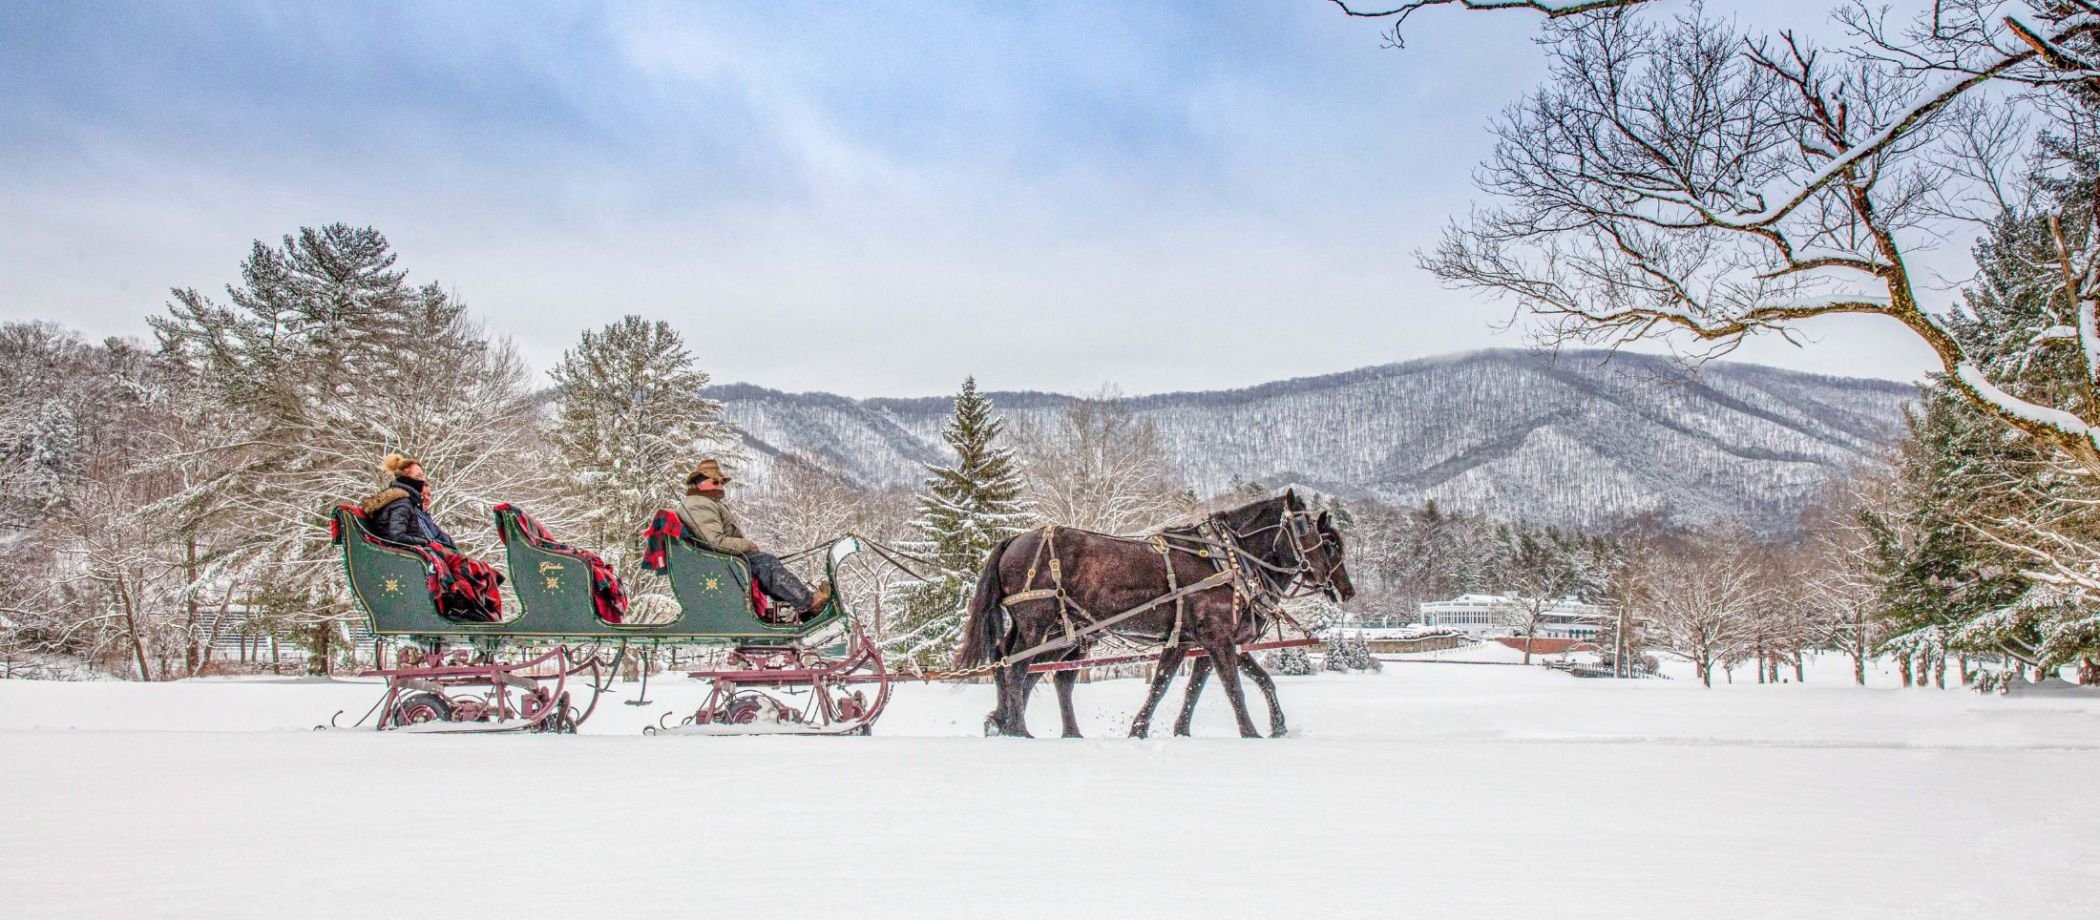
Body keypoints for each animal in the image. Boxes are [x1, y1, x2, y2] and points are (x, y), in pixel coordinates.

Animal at [957, 491, 1352, 735]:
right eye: (1321, 538)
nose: (1346, 590)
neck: (1228, 558)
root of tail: (1014, 540)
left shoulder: (1193, 642)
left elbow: (1176, 685)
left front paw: (1155, 730)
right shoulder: (1218, 638)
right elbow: (1234, 687)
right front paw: (1251, 732)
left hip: (1061, 632)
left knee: (1024, 668)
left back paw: (1013, 723)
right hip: (1038, 625)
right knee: (1017, 668)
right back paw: (1017, 728)